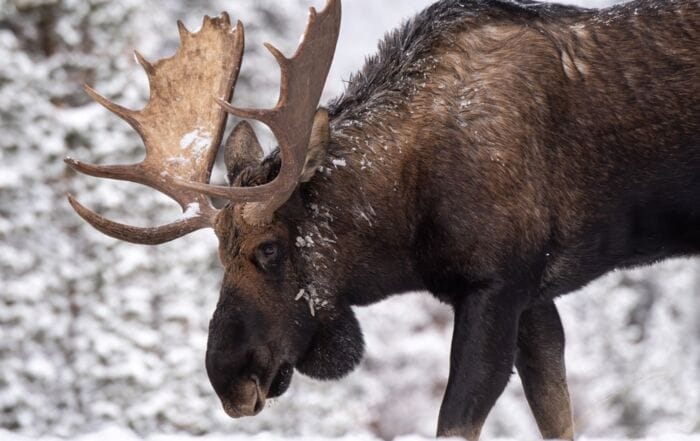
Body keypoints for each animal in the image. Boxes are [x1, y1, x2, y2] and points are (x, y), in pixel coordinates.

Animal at [63, 0, 696, 436]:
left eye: (270, 248)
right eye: (220, 254)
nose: (229, 377)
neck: (404, 229)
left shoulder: (496, 286)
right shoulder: (537, 300)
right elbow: (557, 419)